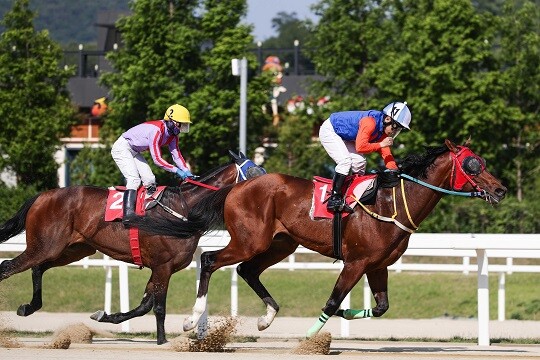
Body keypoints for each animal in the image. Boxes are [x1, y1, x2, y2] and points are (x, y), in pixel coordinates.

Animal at [0, 150, 266, 344]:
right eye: (254, 170)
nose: (267, 186)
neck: (182, 209)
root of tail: (42, 195)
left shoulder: (159, 268)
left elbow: (144, 305)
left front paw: (106, 315)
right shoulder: (163, 266)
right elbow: (158, 306)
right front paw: (162, 341)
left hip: (73, 249)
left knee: (37, 268)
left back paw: (28, 307)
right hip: (45, 245)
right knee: (8, 266)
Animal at [130, 139, 506, 338]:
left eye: (483, 161)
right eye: (472, 165)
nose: (500, 190)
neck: (392, 204)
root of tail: (236, 188)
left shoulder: (378, 265)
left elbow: (381, 307)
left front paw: (346, 315)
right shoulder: (356, 262)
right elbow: (331, 301)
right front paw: (311, 335)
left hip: (281, 243)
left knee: (247, 271)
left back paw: (266, 318)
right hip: (250, 240)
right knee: (210, 260)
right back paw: (192, 320)